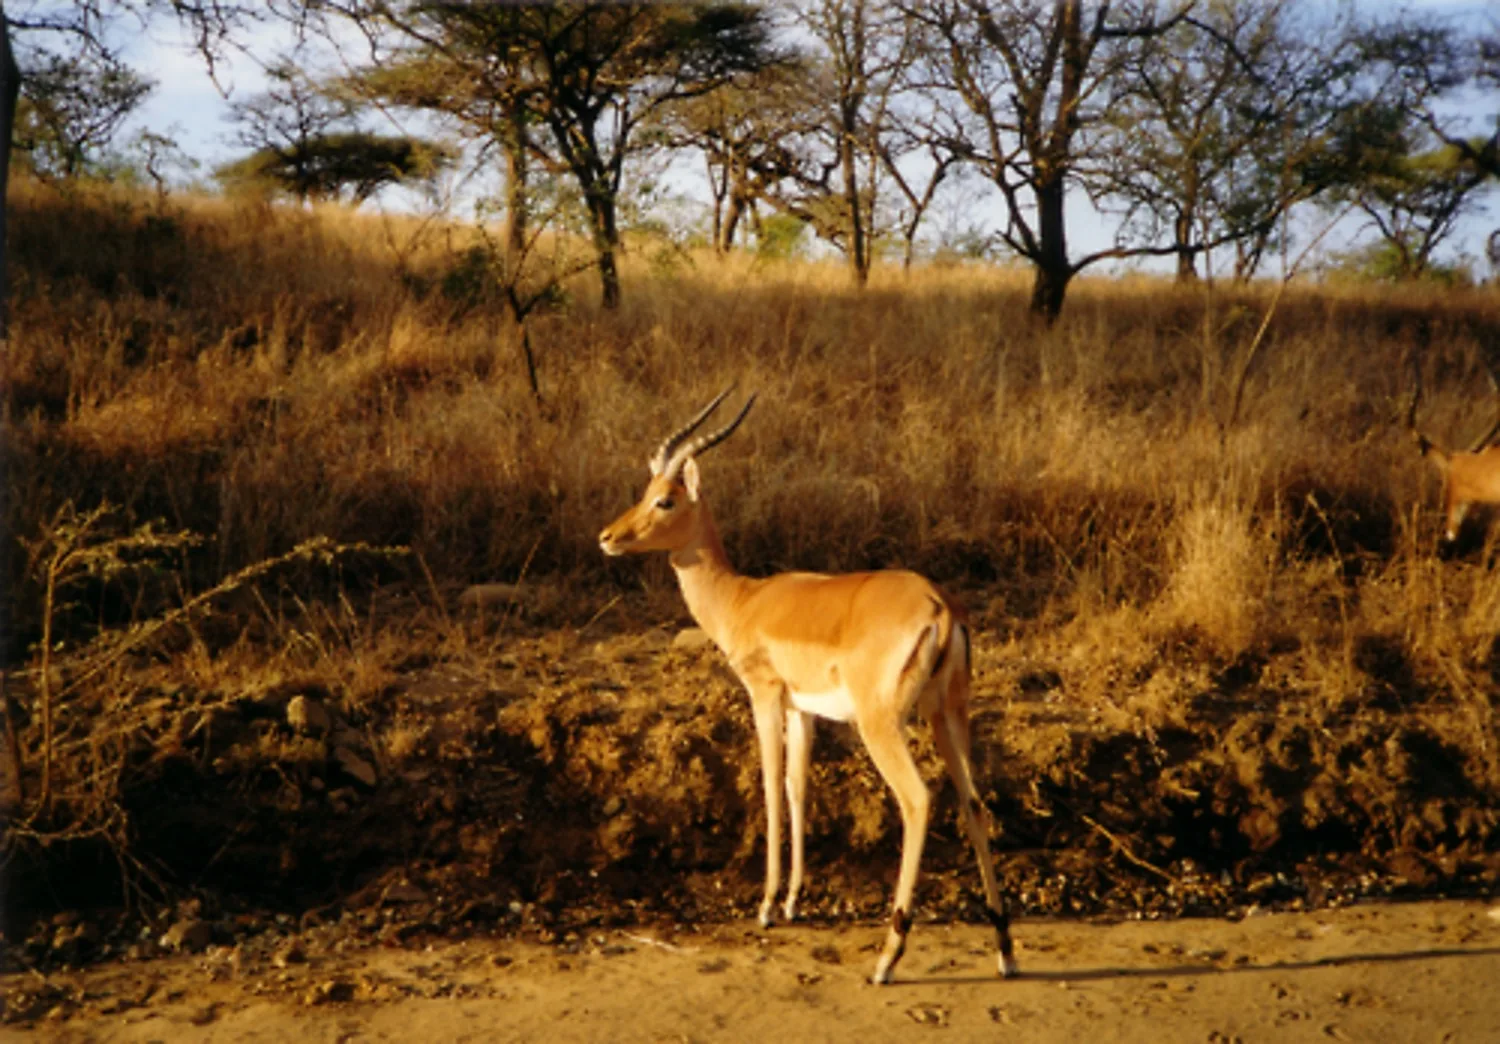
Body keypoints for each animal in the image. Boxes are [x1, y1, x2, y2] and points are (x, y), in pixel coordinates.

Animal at [599, 388, 1018, 985]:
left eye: (665, 500)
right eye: (645, 492)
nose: (608, 537)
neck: (743, 600)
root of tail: (940, 607)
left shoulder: (765, 695)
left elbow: (771, 786)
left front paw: (767, 906)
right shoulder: (804, 710)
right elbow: (799, 786)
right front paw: (795, 901)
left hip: (881, 724)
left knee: (917, 799)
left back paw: (888, 957)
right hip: (948, 715)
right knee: (974, 803)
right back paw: (1004, 949)